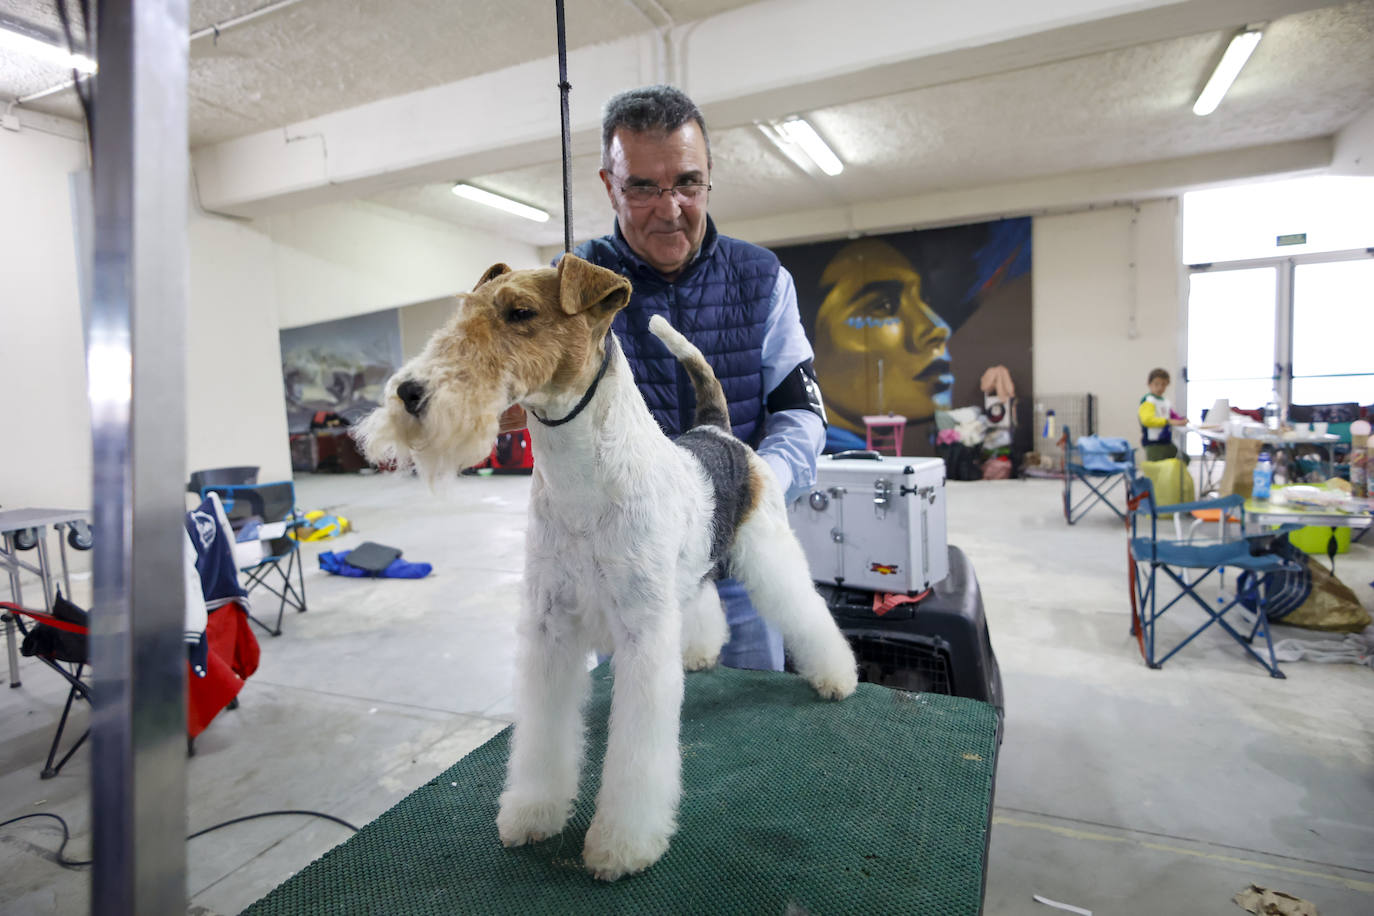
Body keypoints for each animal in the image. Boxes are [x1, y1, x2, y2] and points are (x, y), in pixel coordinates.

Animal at [357, 256, 846, 878]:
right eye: (463, 313)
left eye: (520, 312)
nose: (409, 393)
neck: (581, 483)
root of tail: (716, 431)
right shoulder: (549, 630)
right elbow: (544, 736)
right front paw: (533, 812)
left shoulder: (640, 636)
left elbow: (636, 756)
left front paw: (621, 843)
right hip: (681, 579)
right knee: (703, 599)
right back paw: (700, 652)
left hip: (768, 551)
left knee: (808, 613)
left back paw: (838, 677)